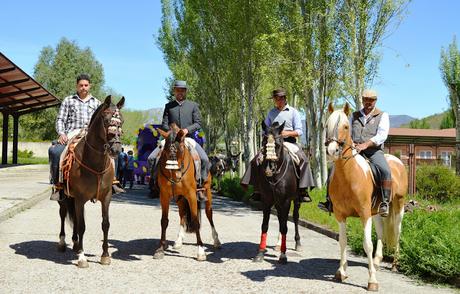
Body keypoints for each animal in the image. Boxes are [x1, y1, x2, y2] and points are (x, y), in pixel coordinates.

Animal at [57, 95, 126, 268]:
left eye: (121, 121)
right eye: (106, 120)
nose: (116, 150)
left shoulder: (106, 197)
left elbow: (105, 224)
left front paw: (105, 255)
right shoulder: (80, 198)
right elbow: (82, 225)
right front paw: (82, 258)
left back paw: (75, 244)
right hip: (64, 197)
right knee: (63, 215)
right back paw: (62, 243)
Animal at [154, 123, 220, 260]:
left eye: (181, 149)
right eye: (165, 150)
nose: (176, 175)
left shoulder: (191, 196)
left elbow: (195, 221)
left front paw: (200, 251)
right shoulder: (164, 196)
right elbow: (164, 221)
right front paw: (160, 248)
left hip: (207, 193)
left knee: (209, 214)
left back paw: (216, 241)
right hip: (180, 198)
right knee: (182, 215)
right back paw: (179, 241)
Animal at [326, 103, 408, 290]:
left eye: (345, 126)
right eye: (326, 125)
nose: (332, 151)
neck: (349, 175)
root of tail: (397, 161)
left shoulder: (364, 213)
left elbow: (367, 245)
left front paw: (372, 281)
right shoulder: (340, 215)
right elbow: (342, 241)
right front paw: (341, 272)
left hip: (398, 206)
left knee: (398, 231)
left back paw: (394, 264)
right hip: (376, 212)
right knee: (381, 231)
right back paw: (377, 261)